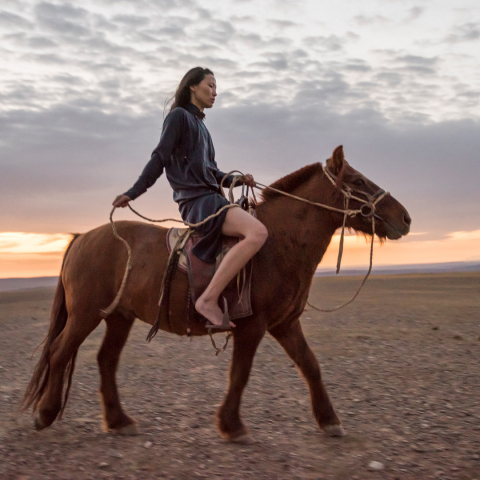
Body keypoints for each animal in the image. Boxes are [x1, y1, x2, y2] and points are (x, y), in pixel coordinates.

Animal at [22, 145, 410, 442]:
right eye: (357, 181)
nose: (405, 218)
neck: (279, 242)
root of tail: (81, 238)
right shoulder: (253, 326)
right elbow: (240, 374)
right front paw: (232, 426)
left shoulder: (285, 324)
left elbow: (310, 366)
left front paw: (329, 420)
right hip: (86, 314)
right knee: (59, 352)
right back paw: (45, 413)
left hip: (118, 317)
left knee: (105, 360)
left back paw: (119, 421)